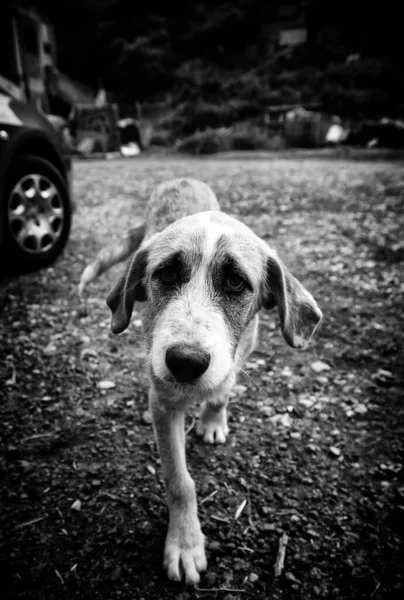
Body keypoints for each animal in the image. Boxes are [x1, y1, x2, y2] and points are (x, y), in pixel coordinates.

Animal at [79, 176, 324, 584]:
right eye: (165, 273)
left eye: (236, 282)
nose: (185, 362)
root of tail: (182, 179)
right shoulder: (161, 403)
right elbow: (179, 481)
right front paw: (184, 543)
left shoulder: (241, 353)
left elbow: (223, 390)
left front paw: (213, 420)